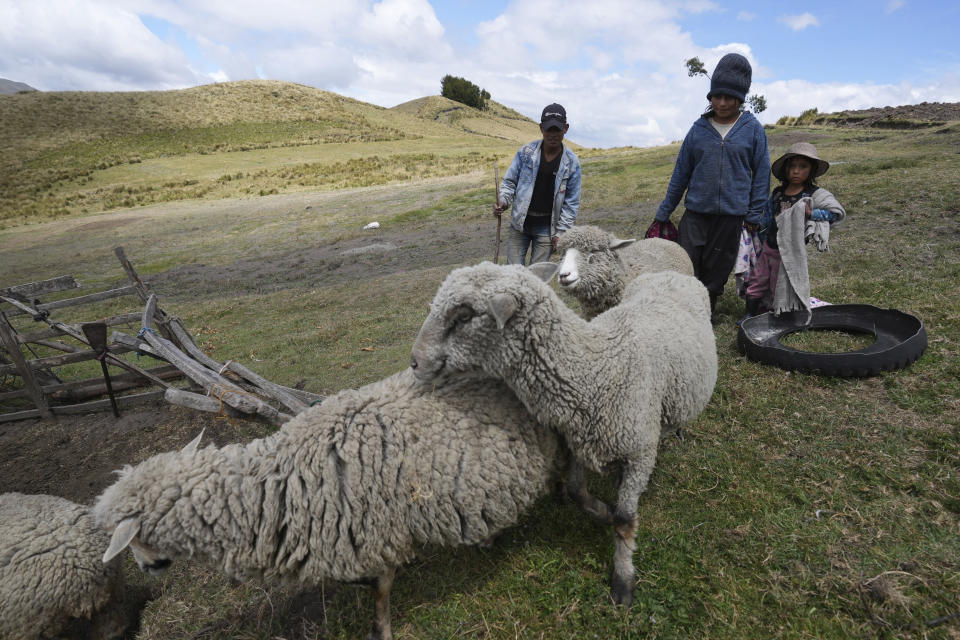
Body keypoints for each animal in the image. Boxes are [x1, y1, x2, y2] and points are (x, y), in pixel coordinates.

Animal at [94, 368, 560, 636]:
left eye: (131, 537)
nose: (148, 570)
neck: (277, 486)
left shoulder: (374, 532)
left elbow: (380, 592)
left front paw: (381, 630)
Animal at [408, 262, 716, 604]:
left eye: (463, 317)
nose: (415, 362)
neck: (597, 370)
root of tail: (670, 273)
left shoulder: (640, 453)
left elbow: (625, 521)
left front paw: (623, 581)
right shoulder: (581, 440)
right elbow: (576, 491)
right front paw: (604, 511)